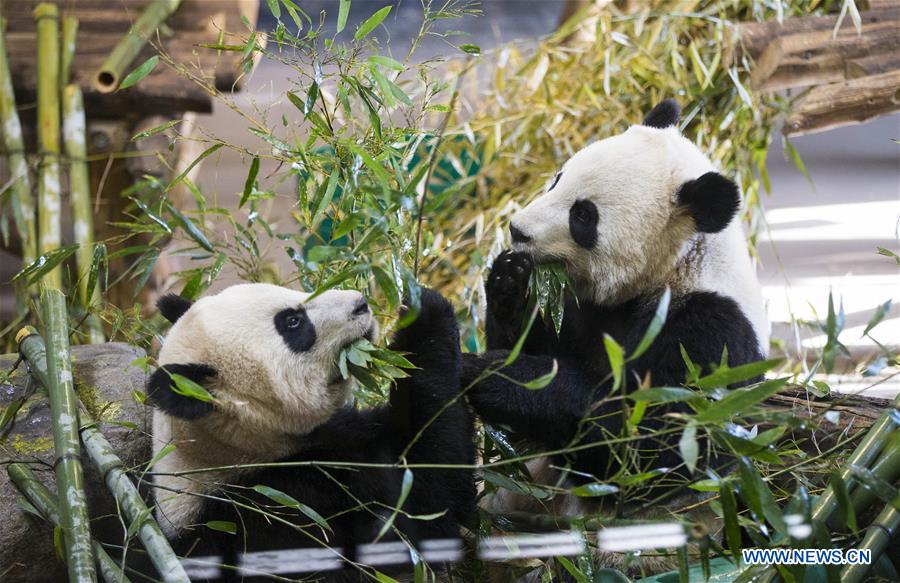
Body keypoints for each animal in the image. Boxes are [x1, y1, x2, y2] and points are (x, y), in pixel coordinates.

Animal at [462, 100, 769, 573]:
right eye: (558, 178)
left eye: (583, 215)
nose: (518, 230)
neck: (676, 266)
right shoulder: (580, 309)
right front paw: (510, 280)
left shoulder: (711, 332)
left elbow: (654, 449)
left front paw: (504, 379)